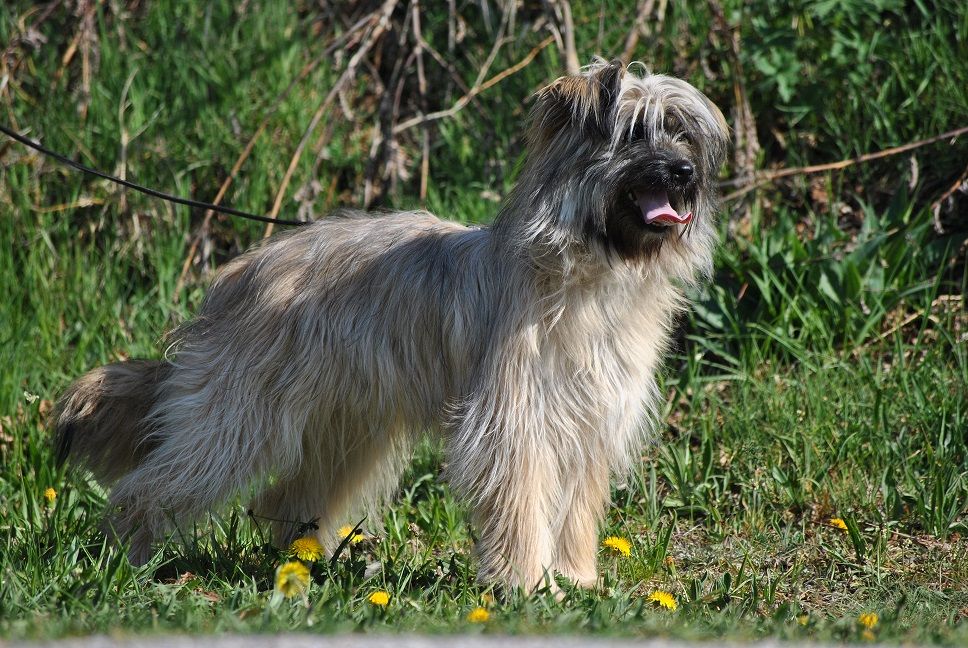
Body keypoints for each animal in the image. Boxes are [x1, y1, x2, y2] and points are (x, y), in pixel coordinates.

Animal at [56, 60, 728, 592]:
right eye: (634, 134)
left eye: (682, 133)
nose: (684, 173)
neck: (590, 272)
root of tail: (239, 274)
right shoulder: (514, 420)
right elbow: (519, 500)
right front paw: (527, 584)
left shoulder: (590, 424)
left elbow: (576, 511)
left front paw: (574, 577)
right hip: (239, 419)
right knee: (156, 485)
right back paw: (130, 557)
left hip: (346, 428)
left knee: (282, 499)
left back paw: (308, 564)